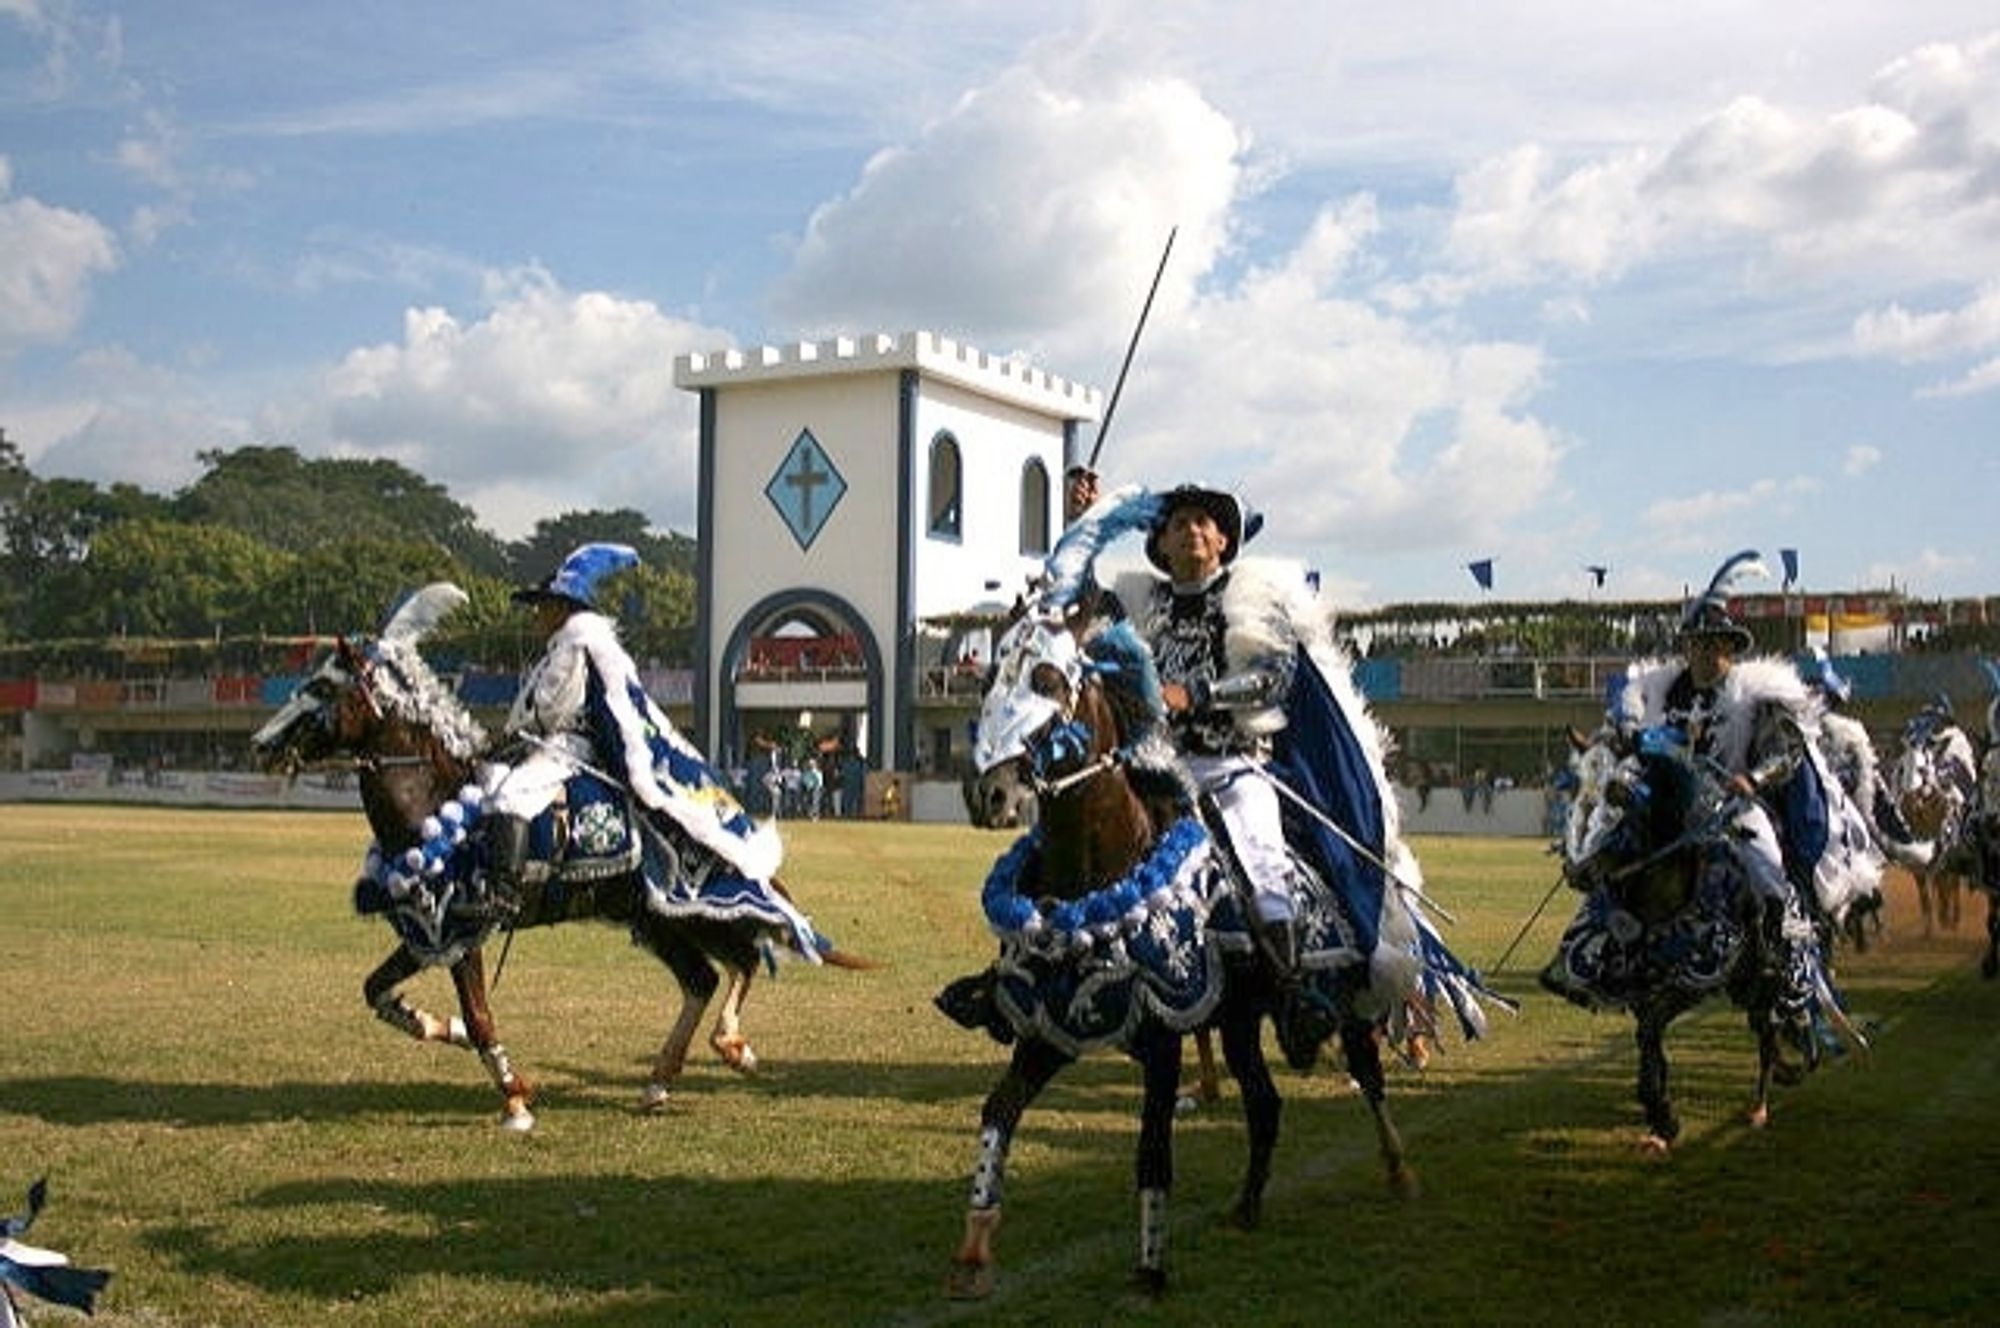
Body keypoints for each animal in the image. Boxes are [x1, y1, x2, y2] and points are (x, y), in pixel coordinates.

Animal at [248, 584, 860, 1128]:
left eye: (321, 688)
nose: (261, 746)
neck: (435, 805)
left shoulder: (464, 930)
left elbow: (481, 1017)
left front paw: (515, 1099)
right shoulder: (427, 931)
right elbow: (378, 992)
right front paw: (436, 1025)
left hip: (694, 905)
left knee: (745, 959)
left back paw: (731, 1045)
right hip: (653, 916)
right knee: (704, 978)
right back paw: (661, 1081)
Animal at [936, 608, 1424, 1296]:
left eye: (1049, 679)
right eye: (986, 680)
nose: (989, 794)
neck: (1101, 874)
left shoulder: (1164, 1040)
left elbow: (1152, 1150)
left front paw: (1150, 1269)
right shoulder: (1050, 1024)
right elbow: (998, 1111)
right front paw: (976, 1248)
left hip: (1350, 999)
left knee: (1368, 1075)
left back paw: (1398, 1168)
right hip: (1240, 1020)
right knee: (1265, 1104)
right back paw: (1246, 1207)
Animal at [1544, 728, 1856, 1152]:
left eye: (1621, 794)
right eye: (1573, 788)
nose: (1578, 871)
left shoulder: (1693, 980)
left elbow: (1650, 1030)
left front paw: (1663, 1115)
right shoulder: (1637, 982)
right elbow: (1647, 1038)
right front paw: (1659, 1114)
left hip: (1769, 976)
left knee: (1773, 1028)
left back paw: (1763, 1104)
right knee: (1766, 1028)